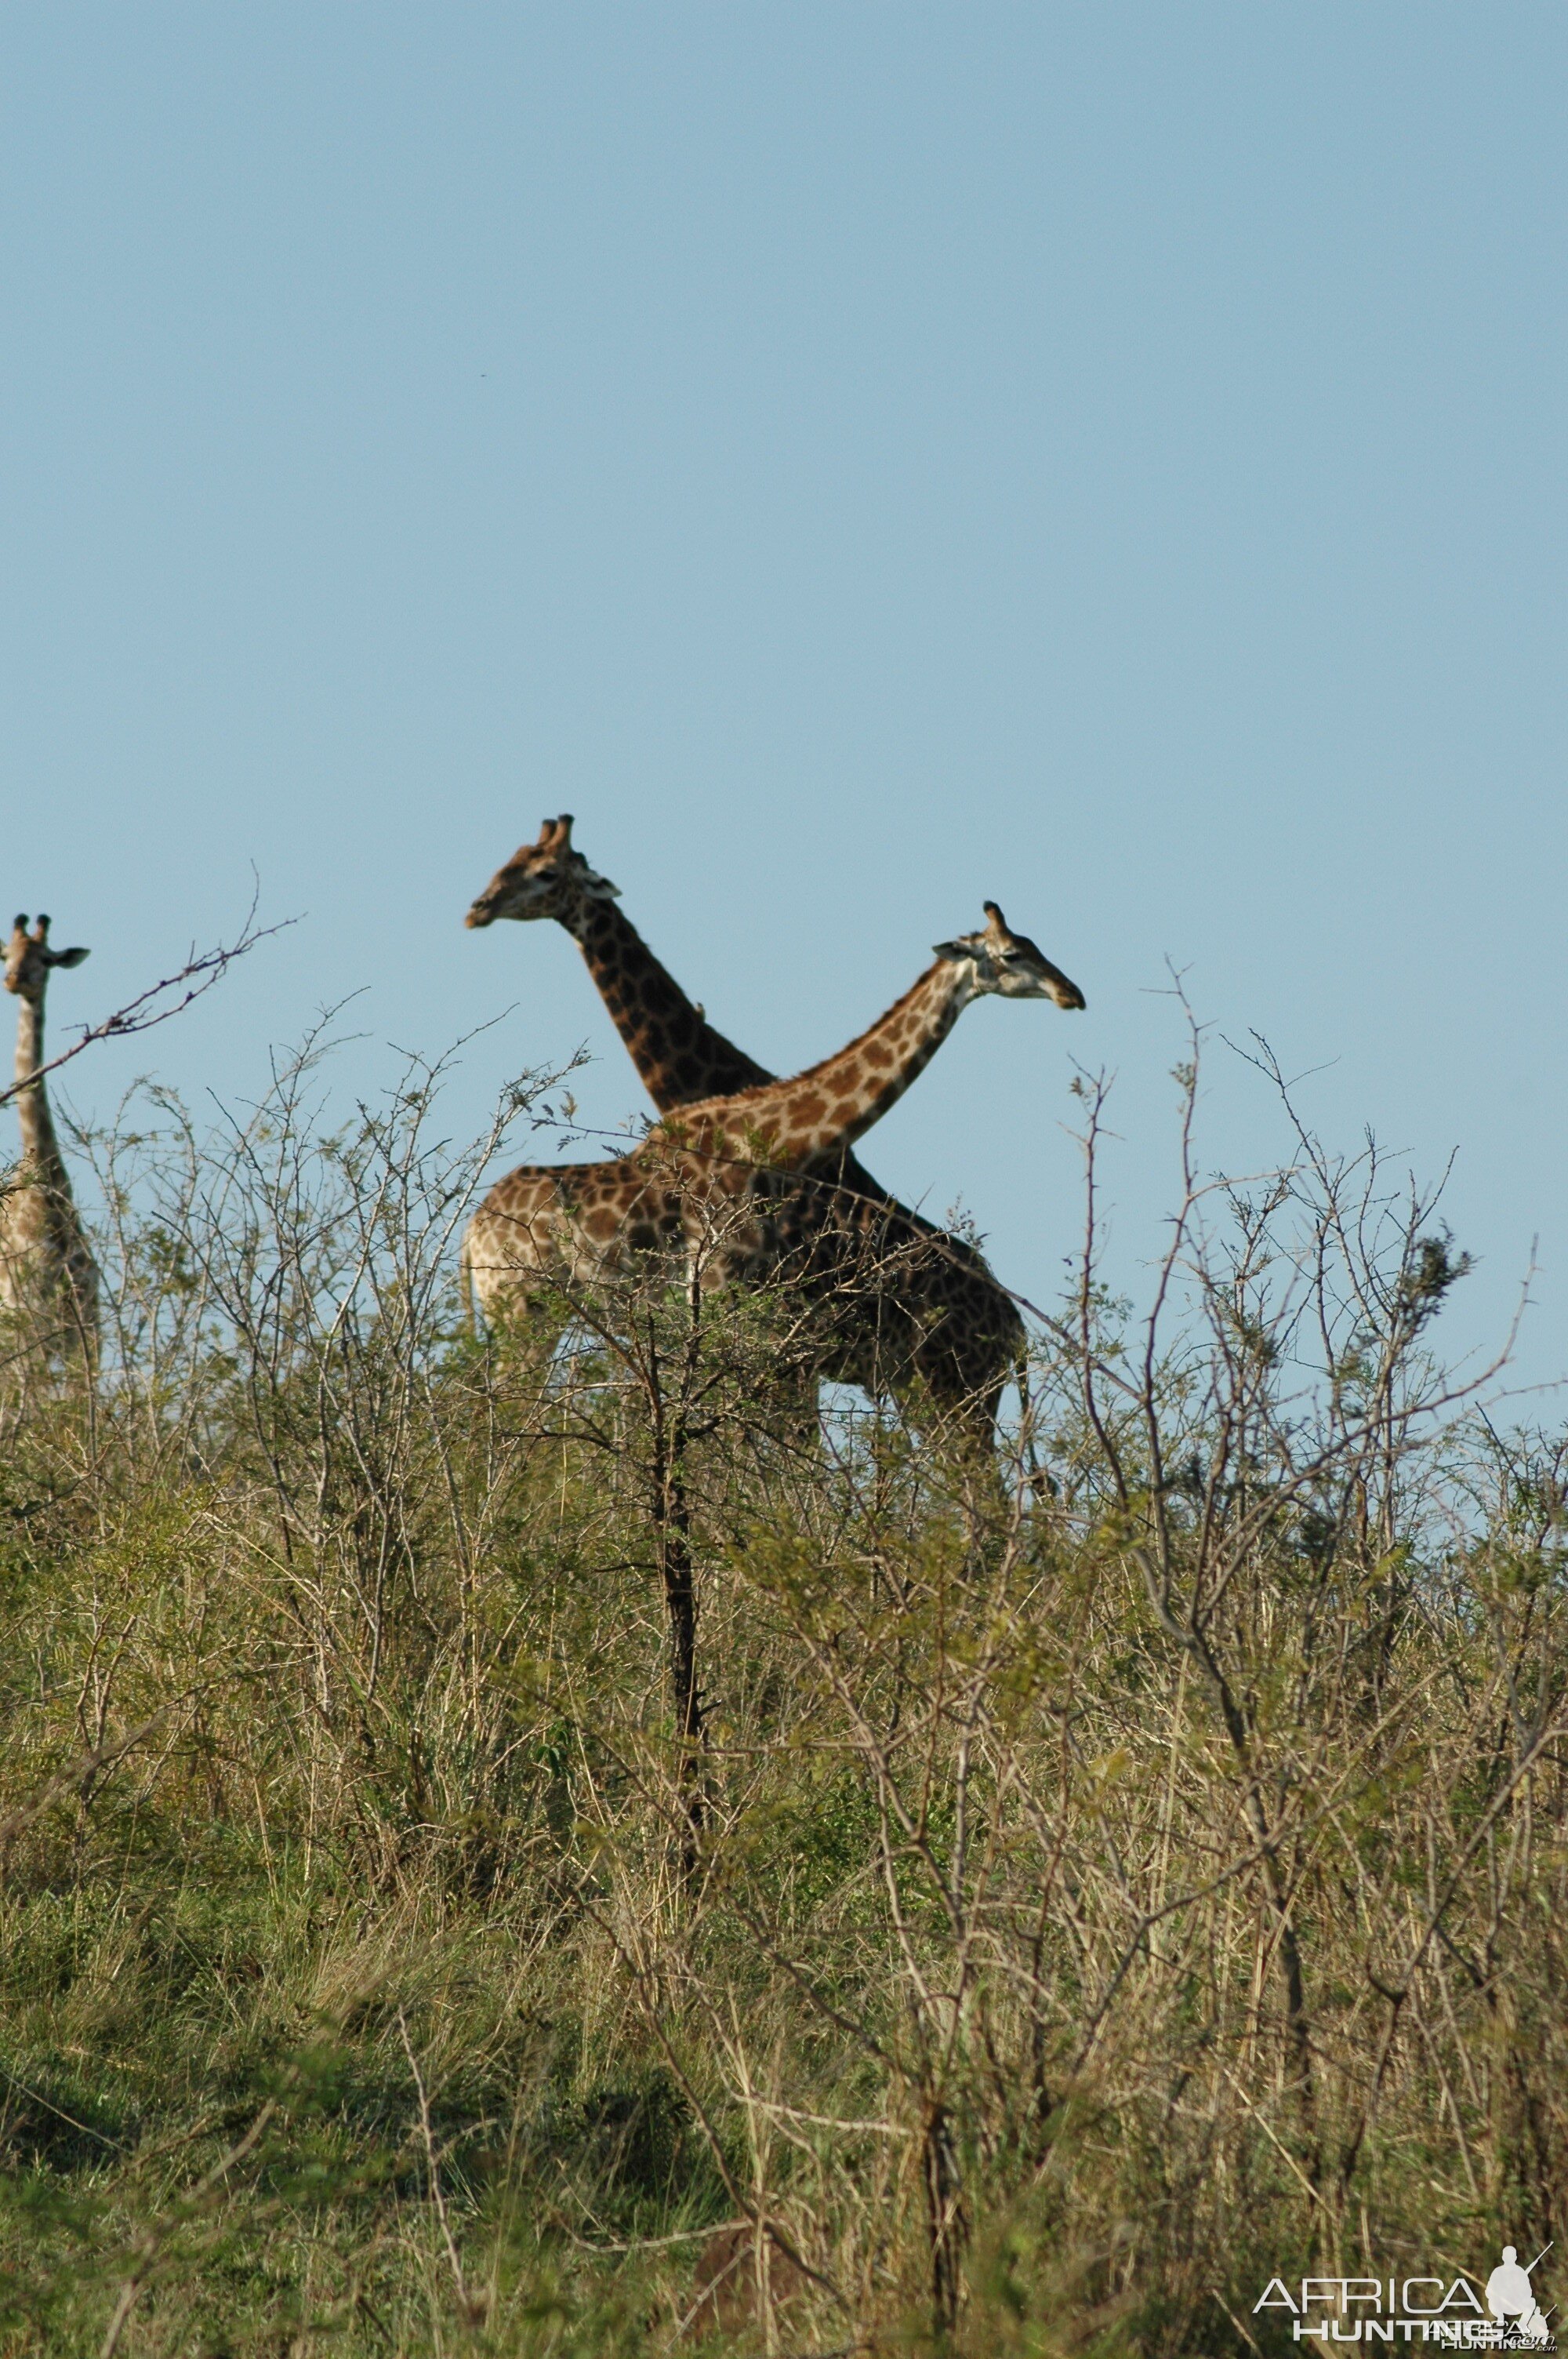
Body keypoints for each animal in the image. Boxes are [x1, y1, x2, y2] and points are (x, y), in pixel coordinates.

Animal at [462, 820, 1065, 1443]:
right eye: (516, 862)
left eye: (544, 872)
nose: (478, 909)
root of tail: (1017, 1329)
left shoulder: (769, 1341)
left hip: (953, 1393)